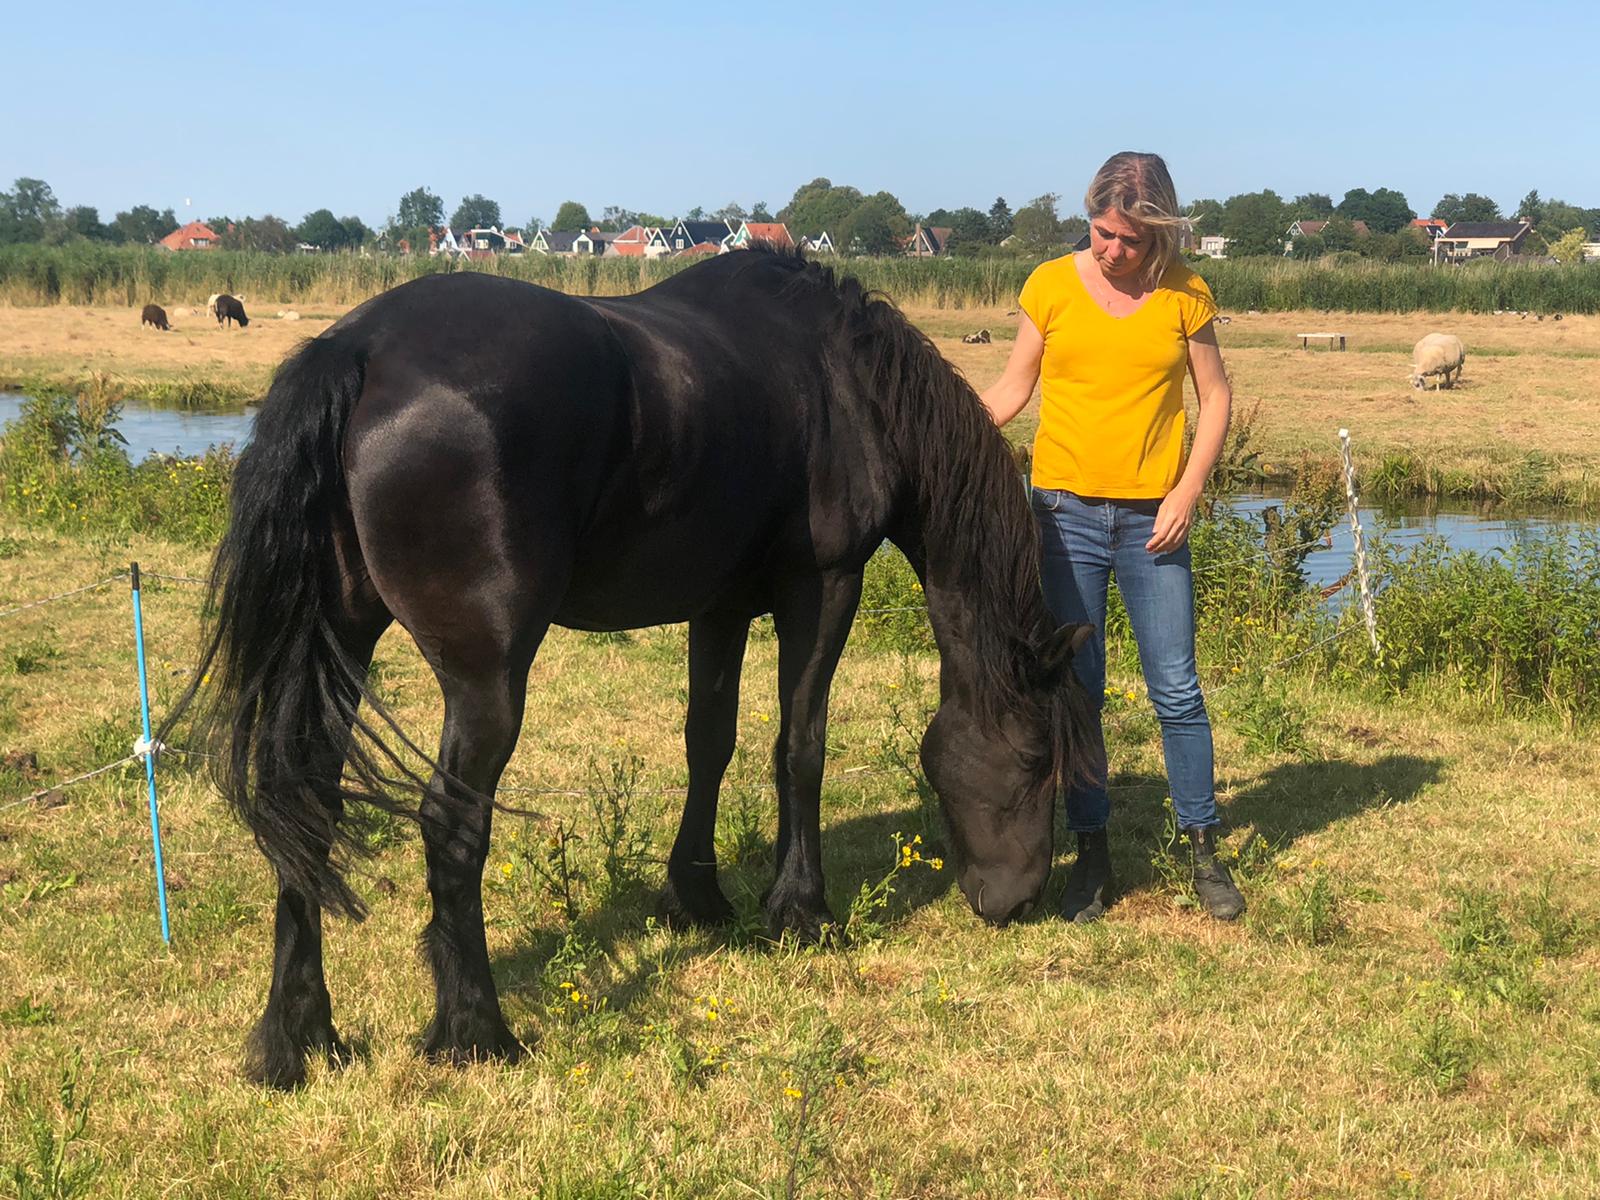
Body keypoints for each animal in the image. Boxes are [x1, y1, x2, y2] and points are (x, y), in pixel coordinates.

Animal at [166, 246, 1094, 1089]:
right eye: (1036, 761)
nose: (1019, 902)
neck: (843, 379)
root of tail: (359, 348)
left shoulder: (720, 606)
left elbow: (709, 743)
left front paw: (696, 899)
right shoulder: (823, 586)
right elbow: (800, 746)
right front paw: (802, 911)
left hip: (342, 640)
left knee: (305, 804)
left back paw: (301, 1038)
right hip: (484, 679)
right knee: (450, 823)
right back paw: (476, 1031)